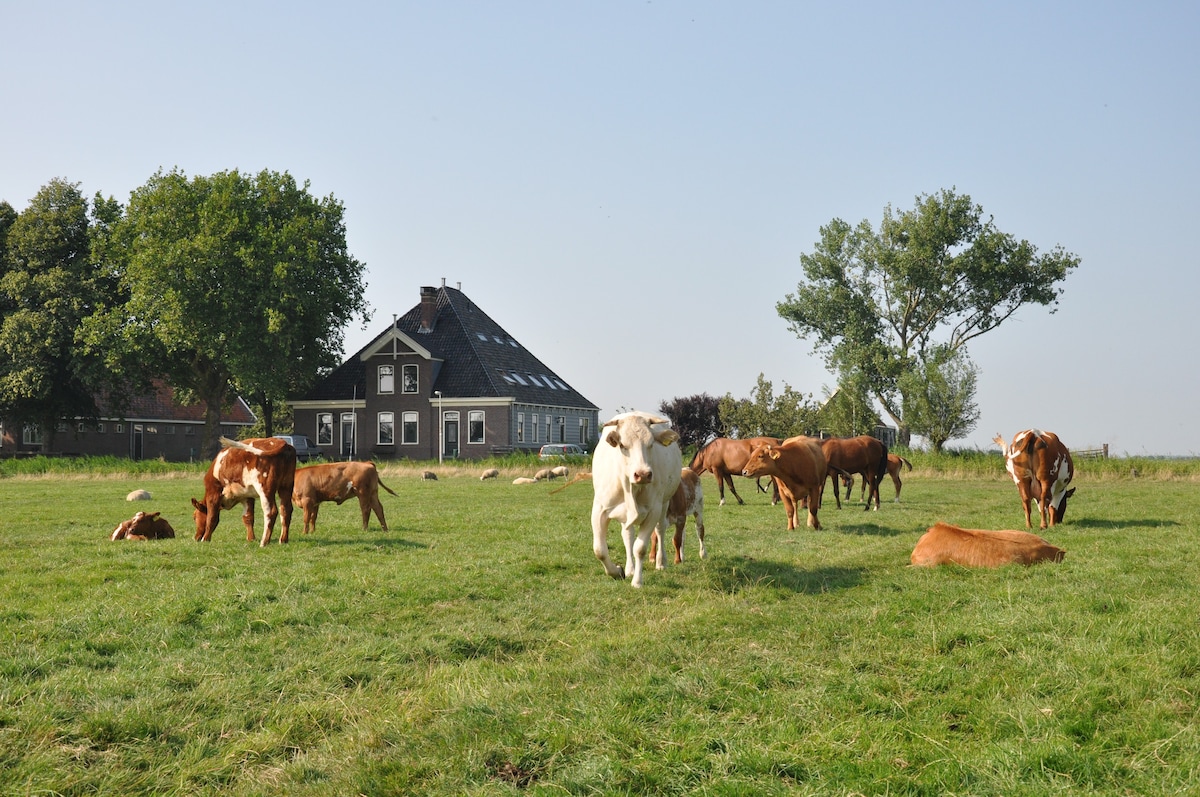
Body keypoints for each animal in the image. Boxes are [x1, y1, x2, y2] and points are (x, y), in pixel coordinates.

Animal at [588, 412, 681, 588]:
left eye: (651, 444)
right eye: (623, 445)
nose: (643, 474)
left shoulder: (653, 510)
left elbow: (640, 548)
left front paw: (637, 581)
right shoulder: (599, 510)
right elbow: (599, 550)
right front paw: (617, 571)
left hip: (664, 503)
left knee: (660, 530)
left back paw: (660, 562)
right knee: (628, 535)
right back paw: (630, 568)